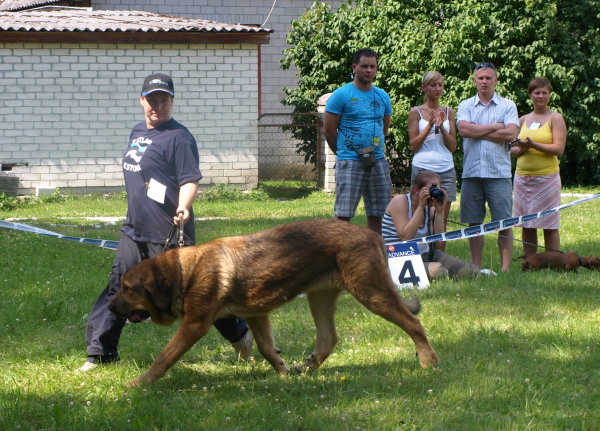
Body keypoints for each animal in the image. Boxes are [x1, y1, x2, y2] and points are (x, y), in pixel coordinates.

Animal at [108, 219, 438, 388]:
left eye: (127, 289)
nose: (110, 308)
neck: (183, 273)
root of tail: (372, 234)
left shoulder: (194, 325)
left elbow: (164, 357)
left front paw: (139, 383)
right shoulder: (256, 315)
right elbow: (267, 349)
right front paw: (283, 371)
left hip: (371, 292)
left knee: (413, 322)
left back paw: (428, 361)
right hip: (320, 298)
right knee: (328, 338)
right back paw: (306, 367)